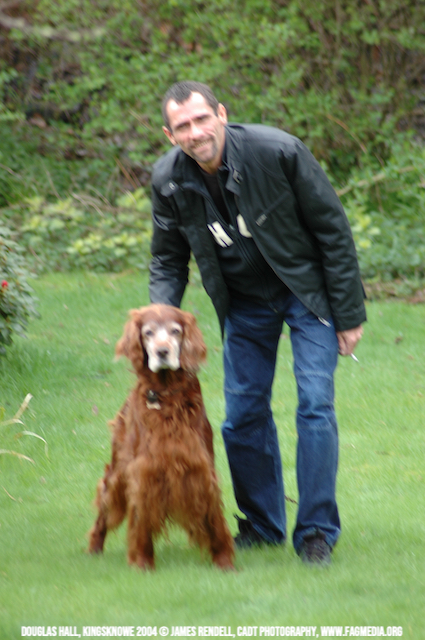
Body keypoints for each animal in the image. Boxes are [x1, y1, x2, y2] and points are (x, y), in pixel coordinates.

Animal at [88, 304, 235, 570]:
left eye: (175, 331)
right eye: (148, 333)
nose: (162, 351)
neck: (166, 394)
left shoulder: (200, 468)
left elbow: (214, 519)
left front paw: (224, 562)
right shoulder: (145, 471)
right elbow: (141, 518)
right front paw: (142, 562)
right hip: (118, 473)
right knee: (105, 509)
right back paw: (94, 546)